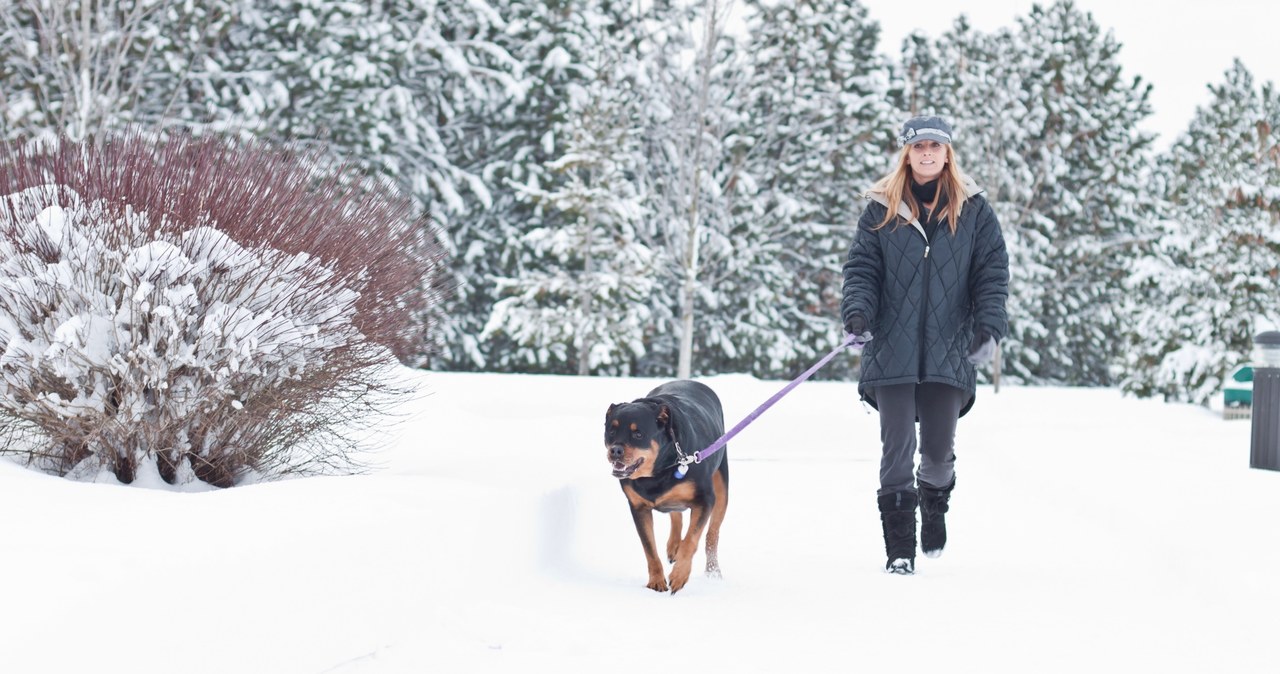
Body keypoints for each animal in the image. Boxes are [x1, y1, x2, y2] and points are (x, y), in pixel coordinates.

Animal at [601, 378, 727, 595]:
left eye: (638, 434)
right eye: (611, 430)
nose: (615, 450)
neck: (658, 471)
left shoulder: (704, 499)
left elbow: (691, 540)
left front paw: (679, 576)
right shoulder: (638, 507)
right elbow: (649, 547)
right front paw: (656, 581)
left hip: (722, 484)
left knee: (712, 533)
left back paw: (712, 571)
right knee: (676, 514)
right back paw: (673, 546)